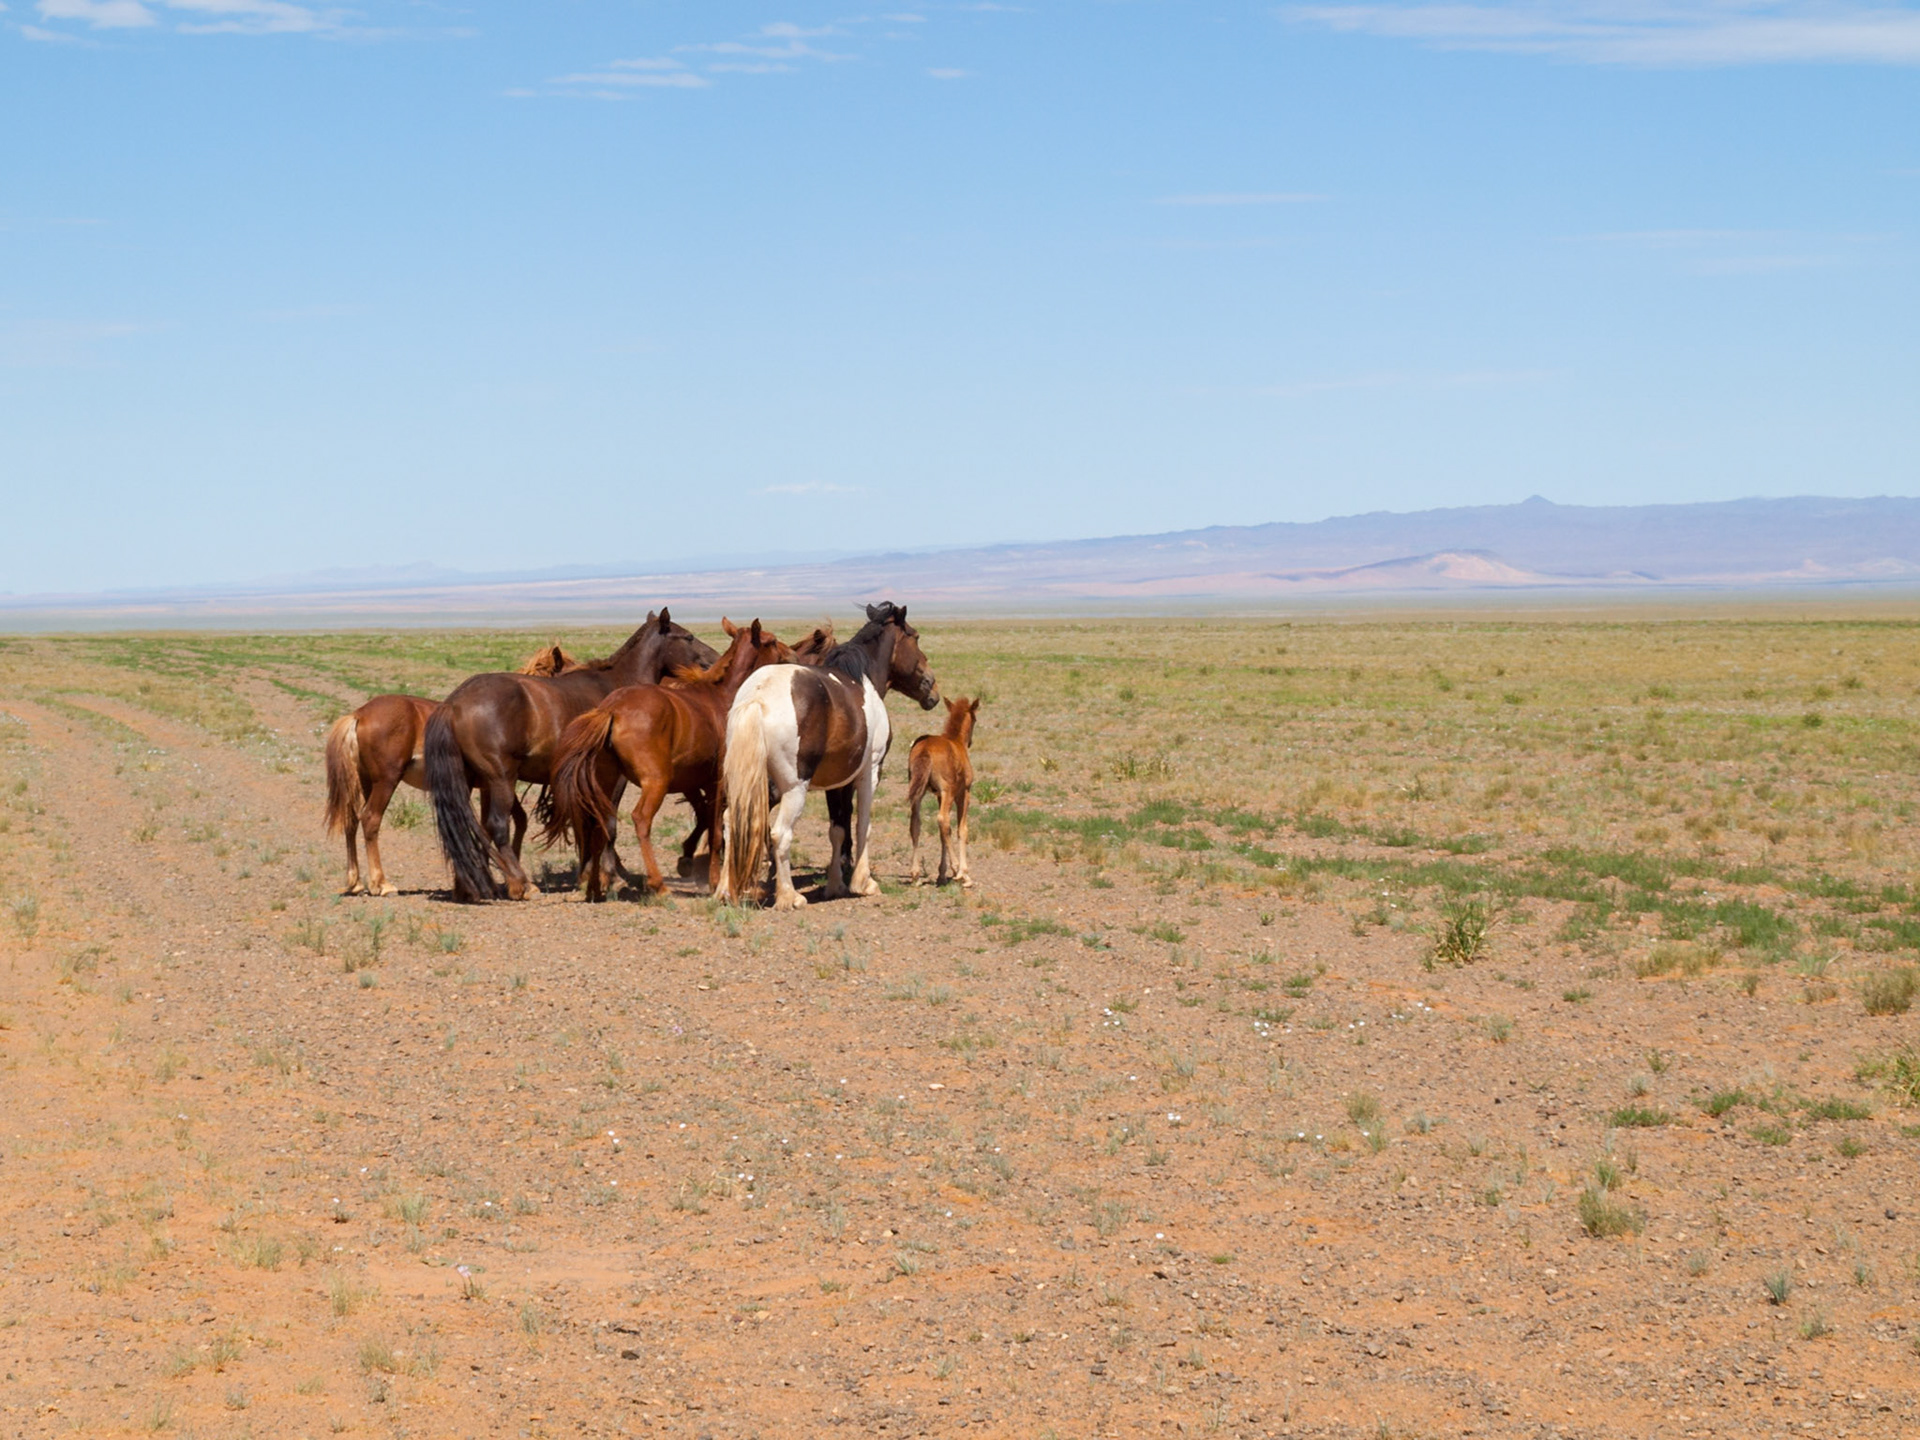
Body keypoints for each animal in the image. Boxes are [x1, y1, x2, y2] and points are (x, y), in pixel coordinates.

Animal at [322, 643, 586, 896]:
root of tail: (359, 714)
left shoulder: (490, 785)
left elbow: (508, 822)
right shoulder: (494, 782)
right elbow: (498, 824)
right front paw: (514, 880)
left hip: (365, 782)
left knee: (351, 820)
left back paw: (355, 882)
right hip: (386, 781)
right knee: (370, 819)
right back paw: (381, 884)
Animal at [426, 610, 717, 902]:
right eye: (688, 637)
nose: (714, 658)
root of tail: (454, 702)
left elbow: (587, 824)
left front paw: (590, 875)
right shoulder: (614, 779)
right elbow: (607, 823)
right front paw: (608, 877)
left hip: (471, 780)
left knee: (465, 824)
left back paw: (468, 886)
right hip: (500, 779)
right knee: (496, 826)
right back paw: (522, 885)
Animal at [540, 619, 796, 901]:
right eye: (772, 641)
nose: (791, 654)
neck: (722, 696)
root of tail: (612, 709)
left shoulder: (695, 783)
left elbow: (707, 821)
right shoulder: (718, 782)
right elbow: (716, 832)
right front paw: (713, 880)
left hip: (605, 783)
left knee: (598, 824)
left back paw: (596, 887)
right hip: (656, 782)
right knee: (641, 819)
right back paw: (657, 884)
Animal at [717, 601, 939, 909]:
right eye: (915, 637)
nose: (932, 687)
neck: (863, 677)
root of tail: (758, 697)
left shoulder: (837, 783)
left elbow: (838, 829)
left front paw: (835, 885)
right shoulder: (870, 773)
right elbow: (862, 826)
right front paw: (863, 883)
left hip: (748, 783)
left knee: (730, 823)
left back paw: (725, 891)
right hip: (792, 790)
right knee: (779, 834)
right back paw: (790, 897)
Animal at [906, 696, 980, 888]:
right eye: (975, 719)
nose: (971, 742)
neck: (956, 741)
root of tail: (925, 749)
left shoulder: (938, 795)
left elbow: (943, 834)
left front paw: (941, 874)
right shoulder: (963, 792)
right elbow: (961, 829)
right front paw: (963, 872)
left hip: (919, 791)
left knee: (915, 823)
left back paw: (915, 874)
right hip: (948, 791)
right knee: (942, 820)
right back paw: (959, 872)